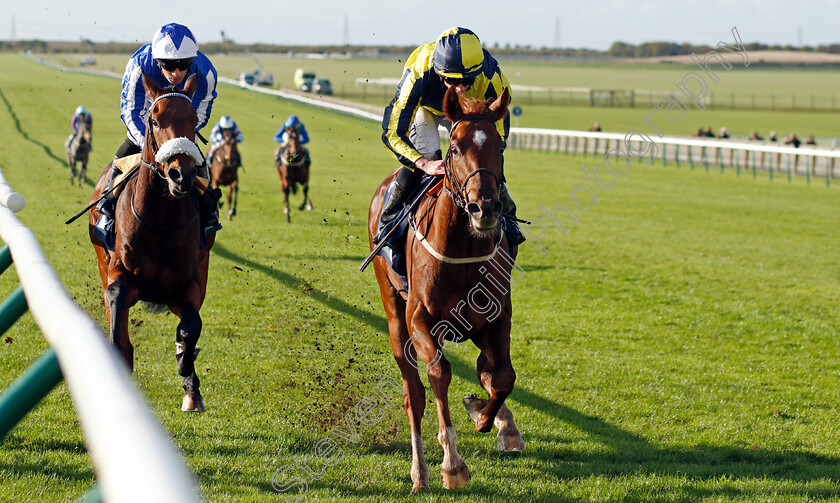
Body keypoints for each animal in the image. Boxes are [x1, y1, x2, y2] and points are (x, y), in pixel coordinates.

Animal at [87, 74, 213, 414]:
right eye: (154, 120)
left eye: (194, 119)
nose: (181, 174)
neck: (160, 220)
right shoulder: (120, 276)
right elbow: (118, 321)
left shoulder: (189, 283)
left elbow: (191, 326)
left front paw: (186, 367)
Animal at [370, 85, 524, 492]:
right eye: (454, 148)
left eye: (500, 146)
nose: (485, 207)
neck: (463, 251)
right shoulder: (421, 322)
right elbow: (439, 374)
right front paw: (452, 464)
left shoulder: (496, 318)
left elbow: (501, 376)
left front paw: (487, 416)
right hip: (395, 316)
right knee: (414, 394)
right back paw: (419, 473)